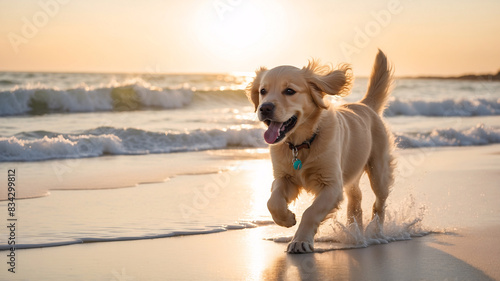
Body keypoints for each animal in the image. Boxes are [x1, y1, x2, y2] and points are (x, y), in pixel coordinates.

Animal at [246, 49, 394, 253]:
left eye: (289, 91)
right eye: (263, 91)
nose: (265, 108)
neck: (301, 144)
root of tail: (365, 104)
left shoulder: (331, 184)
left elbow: (311, 212)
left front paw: (300, 241)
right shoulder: (284, 177)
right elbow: (272, 201)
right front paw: (286, 218)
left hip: (378, 171)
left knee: (380, 202)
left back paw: (375, 231)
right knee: (356, 197)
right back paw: (354, 232)